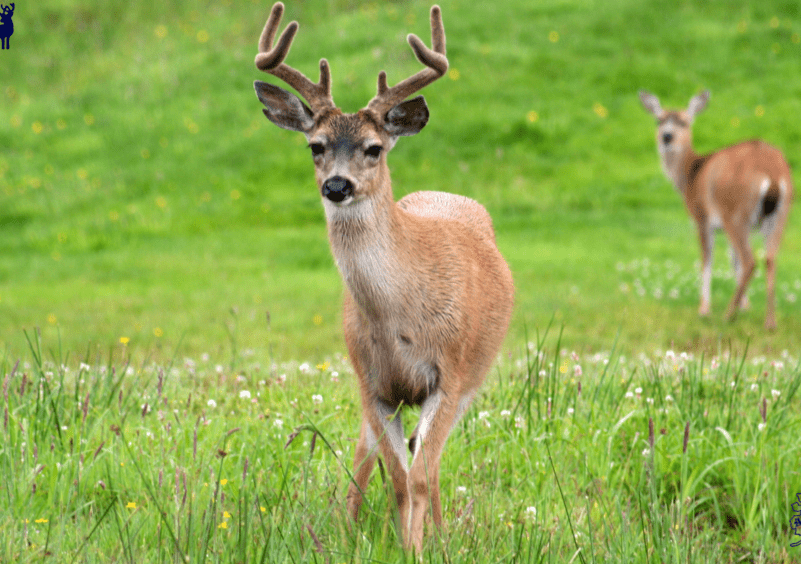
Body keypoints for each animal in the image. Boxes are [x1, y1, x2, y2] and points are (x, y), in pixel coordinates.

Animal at [252, 2, 514, 552]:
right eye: (315, 146)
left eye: (374, 148)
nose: (336, 185)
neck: (400, 316)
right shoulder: (372, 383)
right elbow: (396, 476)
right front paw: (396, 543)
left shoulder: (449, 374)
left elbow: (419, 475)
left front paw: (417, 549)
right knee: (366, 451)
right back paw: (346, 526)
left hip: (475, 375)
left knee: (431, 464)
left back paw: (439, 533)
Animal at [639, 90, 793, 330]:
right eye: (659, 120)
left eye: (684, 121)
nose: (667, 137)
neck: (690, 176)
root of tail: (773, 174)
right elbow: (732, 261)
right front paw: (746, 307)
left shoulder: (702, 217)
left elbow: (707, 260)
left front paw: (704, 310)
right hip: (780, 213)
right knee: (770, 258)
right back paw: (769, 321)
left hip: (736, 212)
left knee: (750, 261)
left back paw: (728, 315)